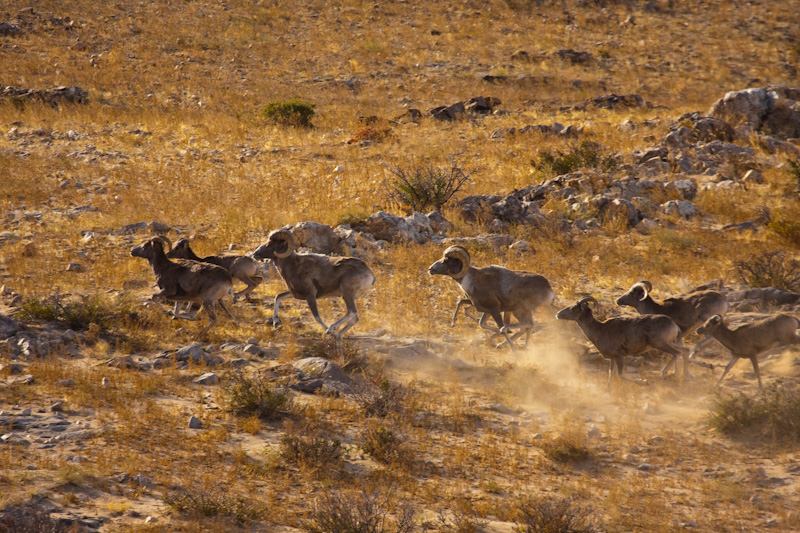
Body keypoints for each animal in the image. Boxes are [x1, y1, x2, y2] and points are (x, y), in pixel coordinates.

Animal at [556, 298, 688, 384]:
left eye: (574, 308)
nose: (558, 314)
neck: (600, 330)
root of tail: (673, 324)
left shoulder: (619, 357)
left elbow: (621, 376)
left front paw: (644, 381)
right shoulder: (613, 359)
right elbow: (611, 375)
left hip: (661, 344)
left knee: (677, 353)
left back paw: (665, 373)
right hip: (670, 343)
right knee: (685, 351)